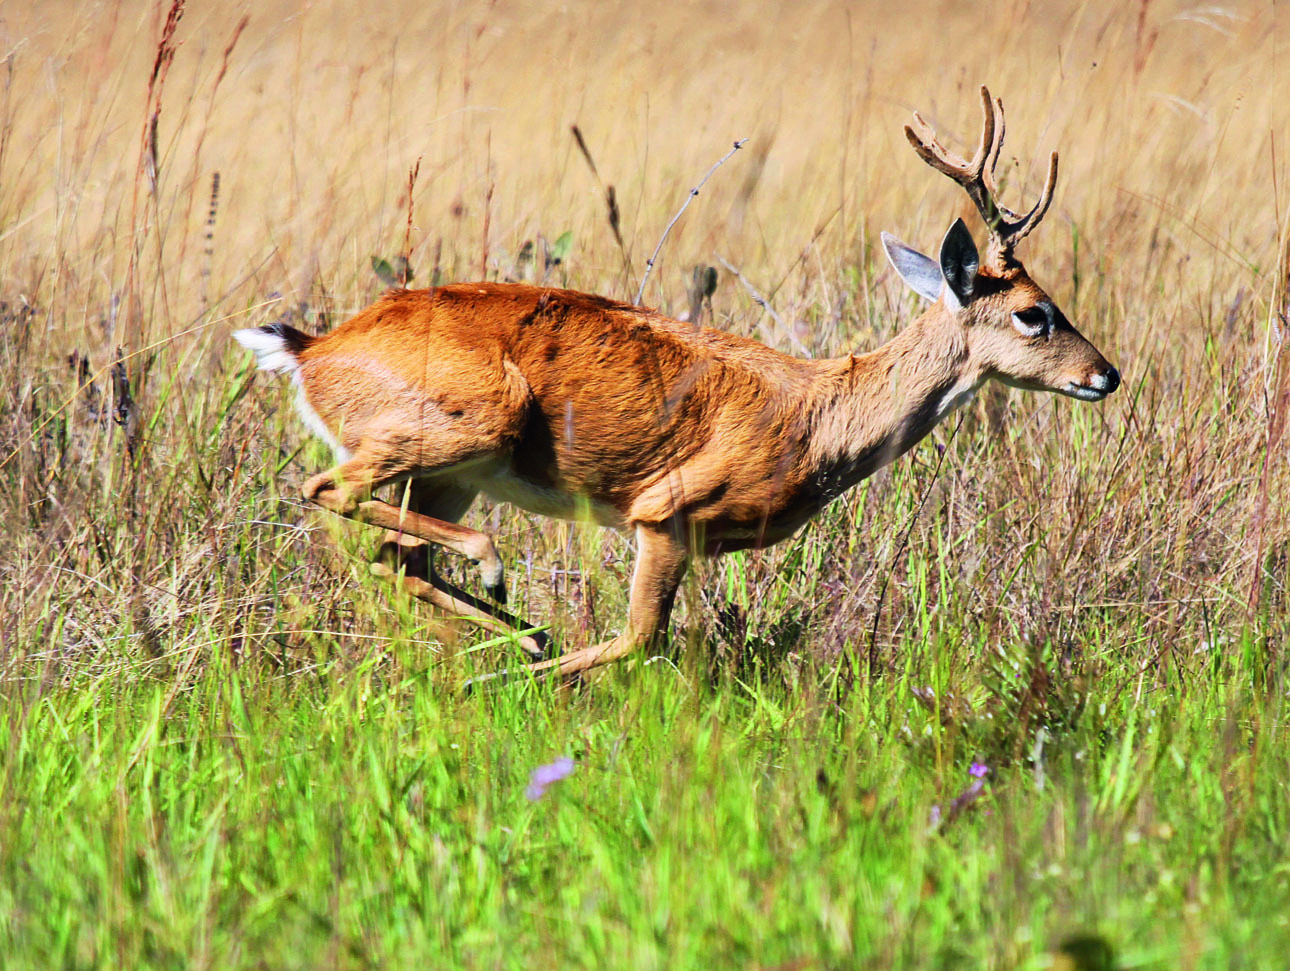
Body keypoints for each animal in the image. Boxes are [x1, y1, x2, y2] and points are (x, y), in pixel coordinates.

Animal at [234, 88, 1119, 680]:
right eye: (1035, 313)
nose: (1105, 374)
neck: (820, 418)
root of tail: (311, 350)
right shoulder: (665, 511)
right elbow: (637, 637)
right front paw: (522, 680)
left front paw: (521, 659)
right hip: (469, 421)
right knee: (329, 489)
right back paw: (500, 594)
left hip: (456, 470)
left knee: (396, 552)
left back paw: (514, 628)